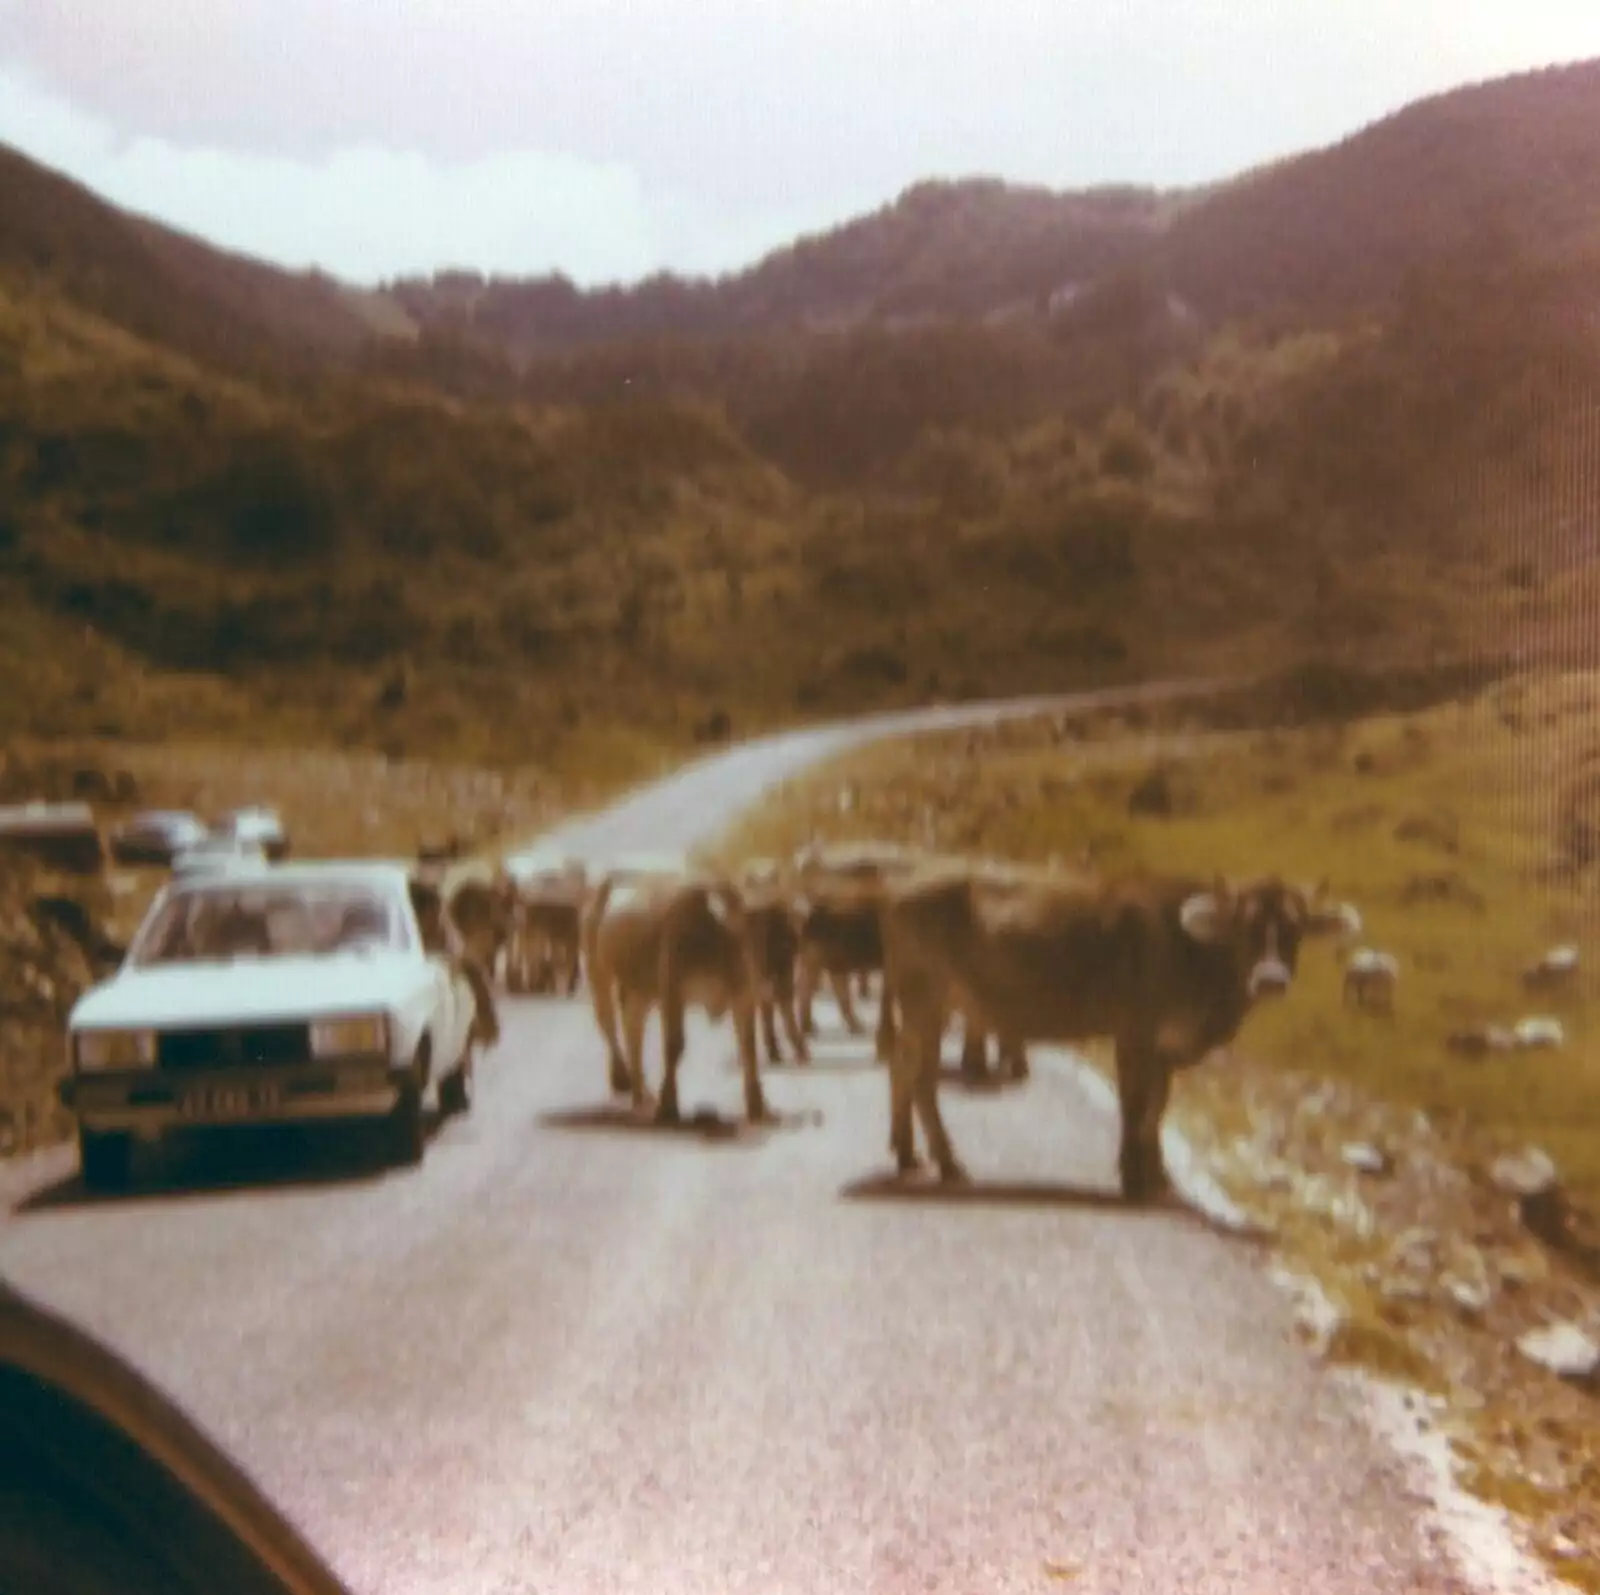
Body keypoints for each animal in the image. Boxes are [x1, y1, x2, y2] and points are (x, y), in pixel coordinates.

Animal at [588, 870, 768, 1119]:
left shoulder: (744, 995)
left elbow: (748, 1046)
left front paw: (757, 1104)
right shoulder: (672, 992)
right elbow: (675, 1044)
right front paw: (668, 1103)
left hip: (639, 990)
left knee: (633, 1031)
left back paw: (641, 1094)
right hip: (599, 974)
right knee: (608, 1024)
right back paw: (623, 1080)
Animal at [883, 870, 1356, 1196]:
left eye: (1295, 929)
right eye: (1245, 926)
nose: (1271, 979)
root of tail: (901, 889)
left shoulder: (1165, 1046)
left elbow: (1157, 1107)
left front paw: (1158, 1175)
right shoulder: (1134, 1031)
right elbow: (1134, 1104)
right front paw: (1133, 1178)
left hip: (930, 1005)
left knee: (902, 1066)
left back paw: (907, 1155)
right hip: (925, 996)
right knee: (920, 1076)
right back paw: (949, 1164)